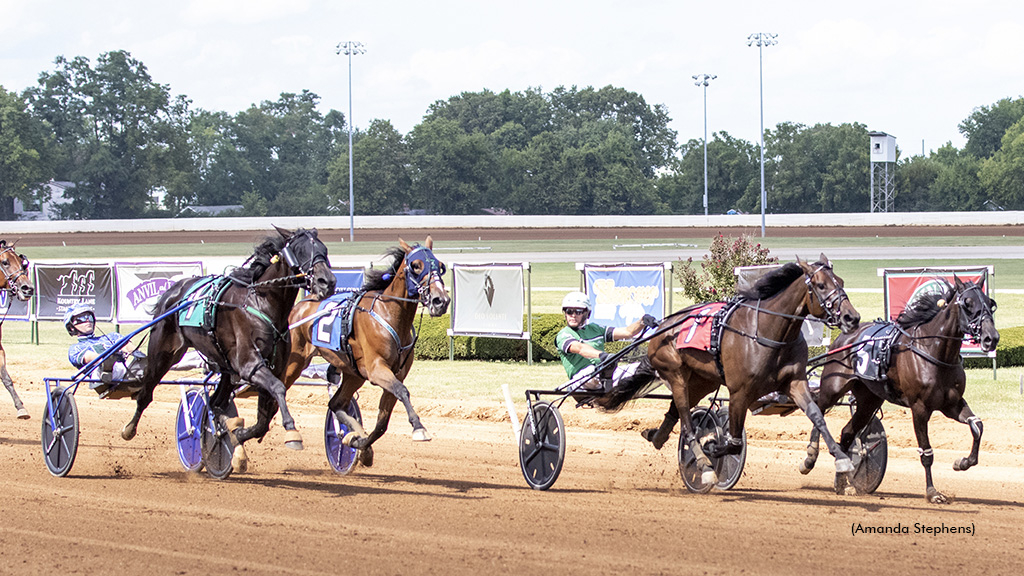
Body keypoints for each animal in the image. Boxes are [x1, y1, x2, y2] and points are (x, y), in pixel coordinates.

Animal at [118, 226, 335, 463]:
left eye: (324, 250)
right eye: (300, 251)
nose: (328, 282)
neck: (261, 302)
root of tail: (173, 291)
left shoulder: (272, 367)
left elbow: (263, 419)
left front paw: (237, 434)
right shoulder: (250, 365)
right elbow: (277, 388)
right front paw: (292, 432)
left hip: (225, 366)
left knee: (215, 402)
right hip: (162, 353)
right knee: (146, 393)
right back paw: (129, 429)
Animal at [276, 236, 448, 467]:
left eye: (440, 266)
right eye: (416, 266)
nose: (441, 301)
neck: (388, 314)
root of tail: (298, 306)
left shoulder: (395, 373)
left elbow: (383, 422)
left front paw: (359, 444)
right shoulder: (377, 370)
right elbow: (403, 391)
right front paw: (419, 428)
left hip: (353, 373)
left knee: (336, 403)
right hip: (294, 363)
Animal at [598, 253, 860, 491]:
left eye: (841, 281)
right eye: (821, 285)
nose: (852, 317)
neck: (768, 332)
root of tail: (661, 327)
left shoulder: (795, 382)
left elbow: (817, 415)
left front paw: (832, 458)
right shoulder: (739, 392)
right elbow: (733, 443)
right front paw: (712, 449)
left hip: (703, 381)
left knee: (675, 412)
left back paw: (657, 436)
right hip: (676, 374)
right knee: (687, 423)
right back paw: (703, 465)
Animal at [802, 276, 995, 500]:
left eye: (990, 303)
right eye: (968, 304)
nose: (992, 338)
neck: (936, 353)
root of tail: (843, 337)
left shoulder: (951, 404)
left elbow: (977, 426)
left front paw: (962, 462)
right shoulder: (920, 408)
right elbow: (926, 452)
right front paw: (932, 492)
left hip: (868, 400)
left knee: (848, 432)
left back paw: (841, 481)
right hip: (833, 387)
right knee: (817, 409)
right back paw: (810, 457)